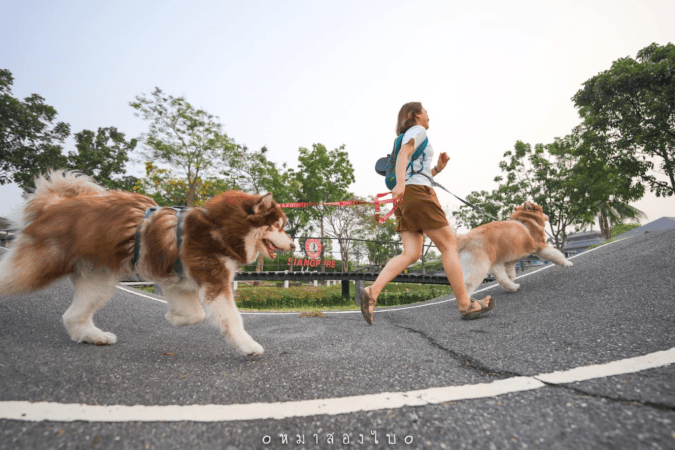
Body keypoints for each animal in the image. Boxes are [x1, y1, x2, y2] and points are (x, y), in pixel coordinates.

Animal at [0, 171, 296, 356]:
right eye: (280, 226)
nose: (293, 245)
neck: (220, 228)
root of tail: (52, 205)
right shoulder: (214, 280)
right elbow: (232, 319)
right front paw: (248, 346)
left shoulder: (179, 282)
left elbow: (195, 314)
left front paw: (173, 318)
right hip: (39, 266)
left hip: (99, 282)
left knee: (73, 316)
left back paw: (94, 336)